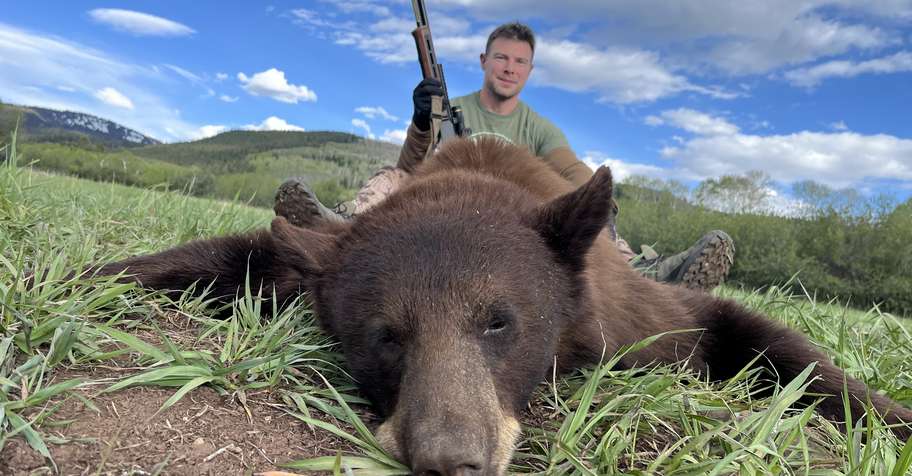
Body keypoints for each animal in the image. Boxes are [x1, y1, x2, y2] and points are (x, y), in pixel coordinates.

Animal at [90, 138, 911, 475]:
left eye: (499, 321)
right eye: (384, 336)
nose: (450, 459)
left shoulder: (628, 315)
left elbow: (748, 333)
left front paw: (890, 416)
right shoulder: (313, 256)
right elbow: (241, 252)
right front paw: (97, 277)